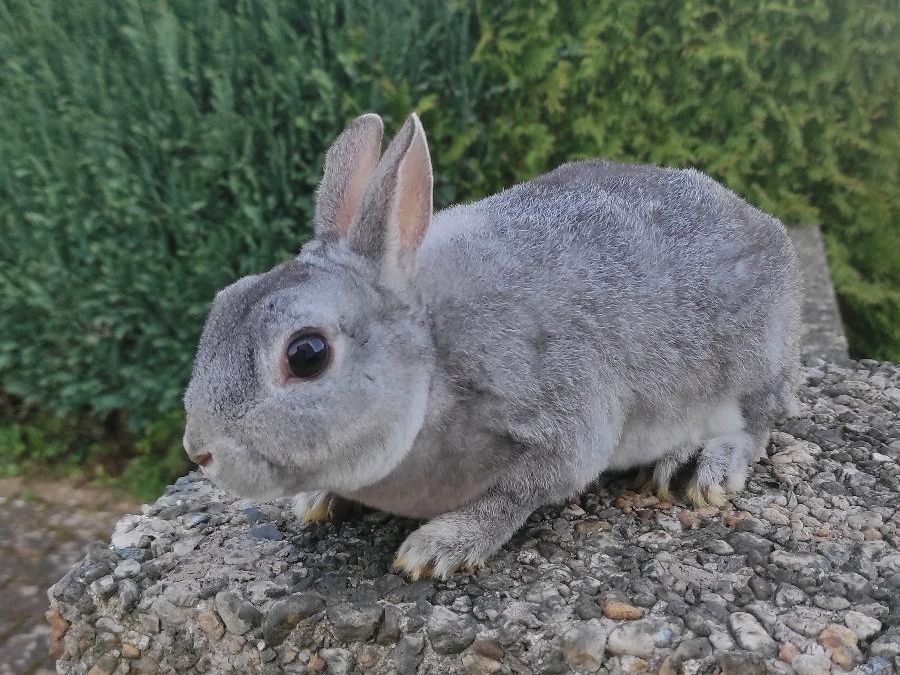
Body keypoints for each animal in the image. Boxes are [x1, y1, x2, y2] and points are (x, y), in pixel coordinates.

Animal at [179, 113, 800, 580]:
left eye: (306, 354)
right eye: (223, 301)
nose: (198, 451)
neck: (433, 356)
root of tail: (763, 225)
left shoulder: (562, 422)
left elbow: (516, 495)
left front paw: (438, 548)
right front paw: (316, 503)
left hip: (750, 364)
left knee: (756, 425)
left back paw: (699, 467)